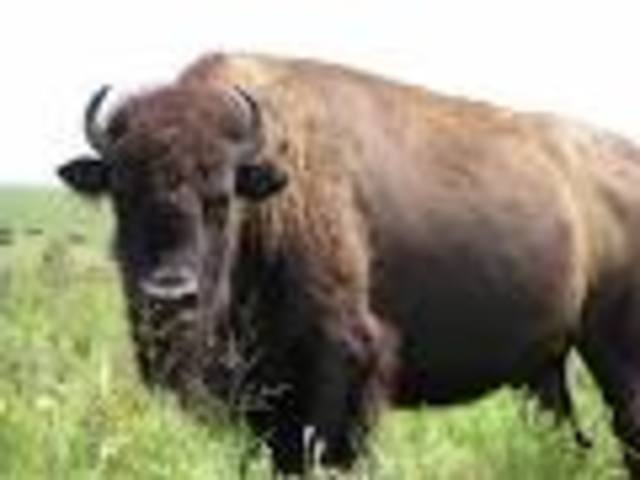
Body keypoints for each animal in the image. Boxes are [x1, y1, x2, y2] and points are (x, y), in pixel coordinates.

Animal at [59, 53, 640, 477]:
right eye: (121, 195)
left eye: (221, 199)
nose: (169, 295)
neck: (274, 194)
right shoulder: (262, 401)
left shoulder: (346, 361)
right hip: (543, 366)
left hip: (611, 347)